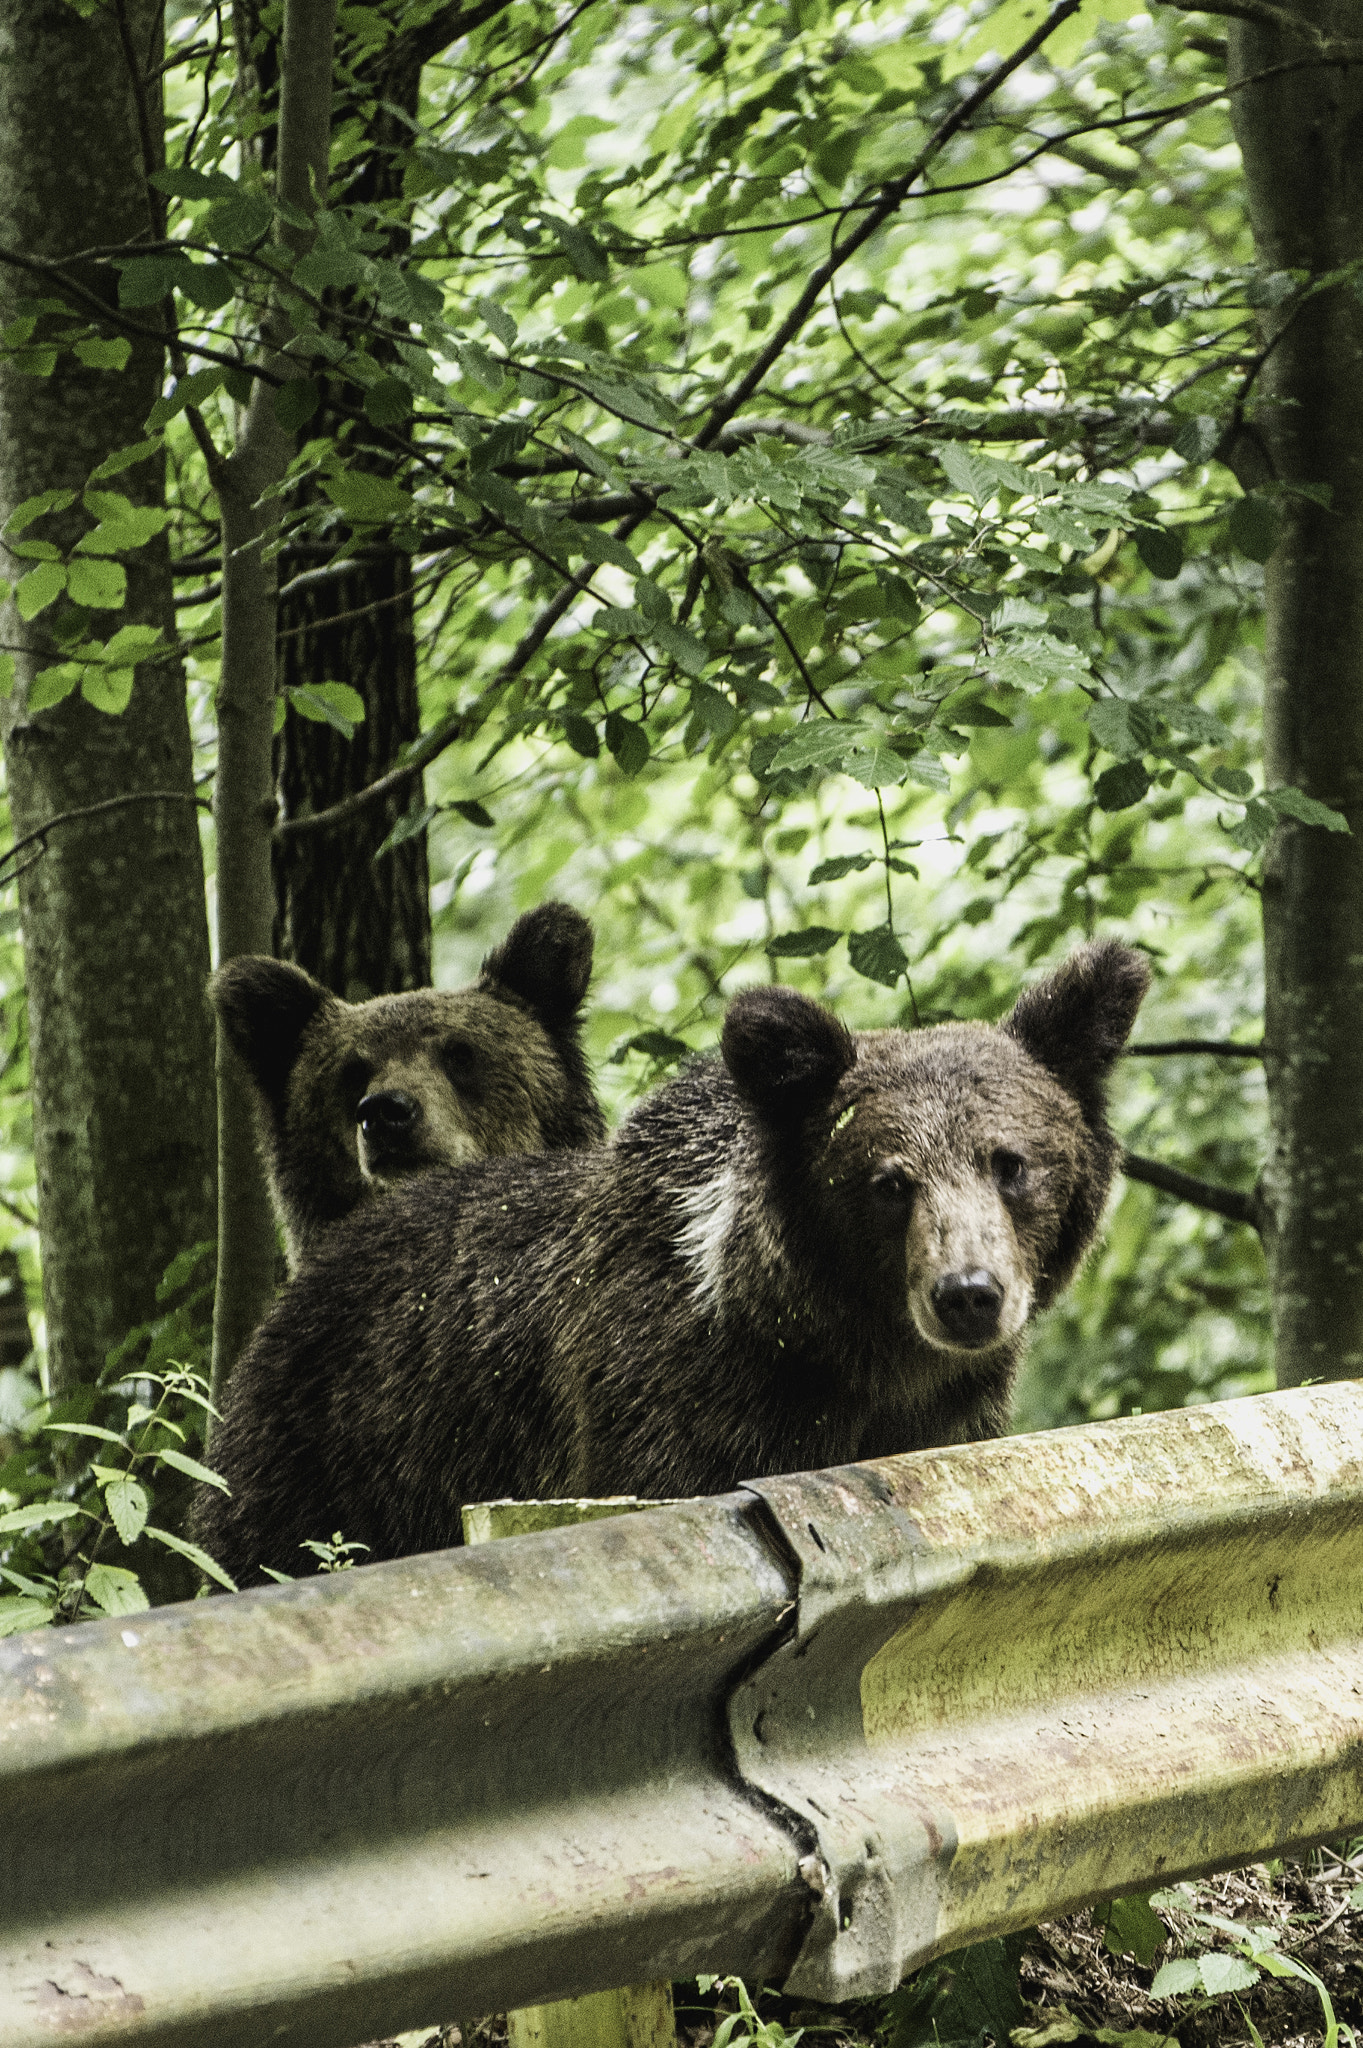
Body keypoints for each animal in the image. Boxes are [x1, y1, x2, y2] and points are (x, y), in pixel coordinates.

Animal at [196, 939, 1149, 1587]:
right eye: (888, 1182)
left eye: (1009, 1162)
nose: (967, 1295)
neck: (847, 1348)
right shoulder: (674, 1411)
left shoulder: (949, 1419)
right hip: (320, 1455)